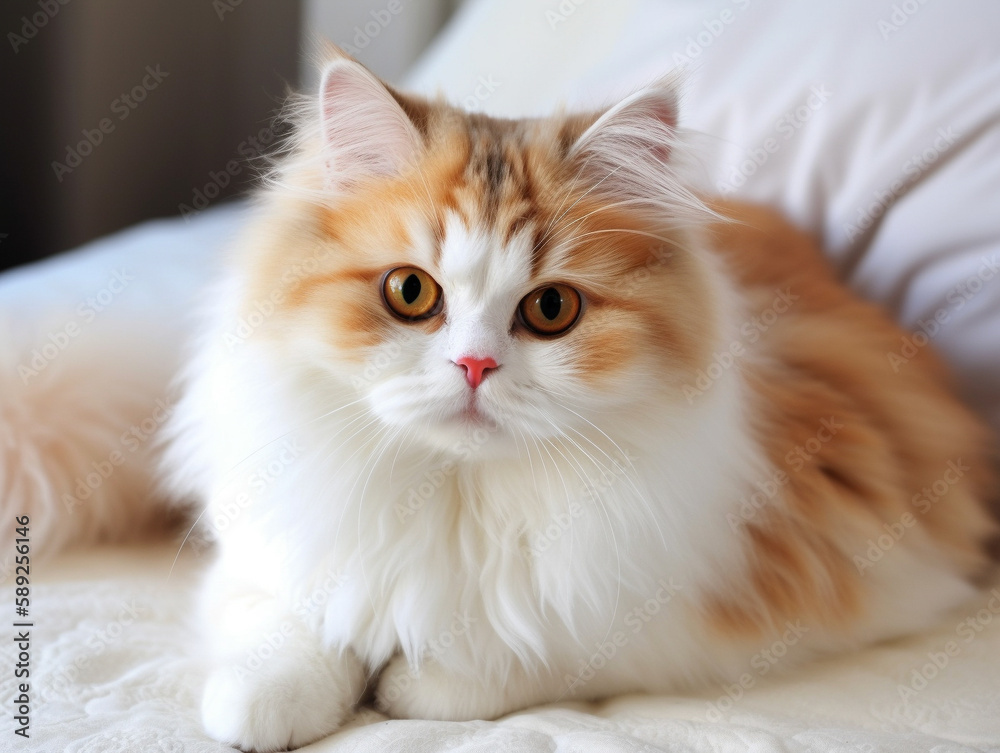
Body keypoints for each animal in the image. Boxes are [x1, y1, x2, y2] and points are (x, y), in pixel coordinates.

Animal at [160, 50, 996, 748]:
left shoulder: (758, 592)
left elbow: (533, 652)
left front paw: (410, 683)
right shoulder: (264, 555)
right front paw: (262, 705)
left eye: (551, 309)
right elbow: (287, 628)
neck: (459, 494)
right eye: (410, 292)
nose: (474, 364)